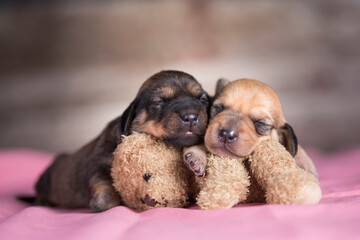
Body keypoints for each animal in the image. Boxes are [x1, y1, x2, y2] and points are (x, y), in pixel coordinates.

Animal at [35, 70, 210, 213]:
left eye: (203, 100)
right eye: (159, 102)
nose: (191, 117)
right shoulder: (97, 162)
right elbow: (103, 181)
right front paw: (103, 201)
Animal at [186, 79, 318, 178]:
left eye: (259, 123)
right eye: (218, 108)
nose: (226, 134)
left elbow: (298, 149)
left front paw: (305, 165)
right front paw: (197, 157)